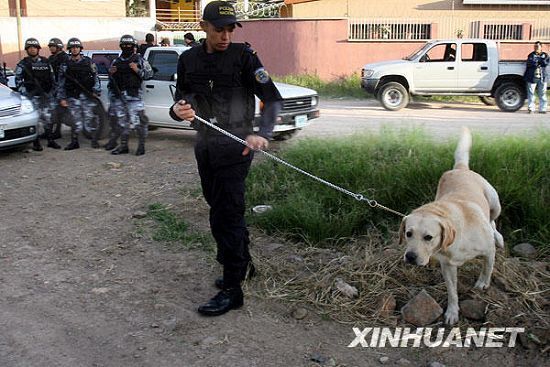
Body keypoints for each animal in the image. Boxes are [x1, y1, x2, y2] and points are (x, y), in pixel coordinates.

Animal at [402, 129, 504, 324]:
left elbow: (487, 267)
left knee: (492, 221)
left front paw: (483, 283)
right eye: (408, 234)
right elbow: (452, 291)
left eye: (428, 237)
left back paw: (498, 236)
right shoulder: (447, 266)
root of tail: (460, 168)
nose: (410, 257)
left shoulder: (488, 250)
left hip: (495, 203)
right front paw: (452, 312)